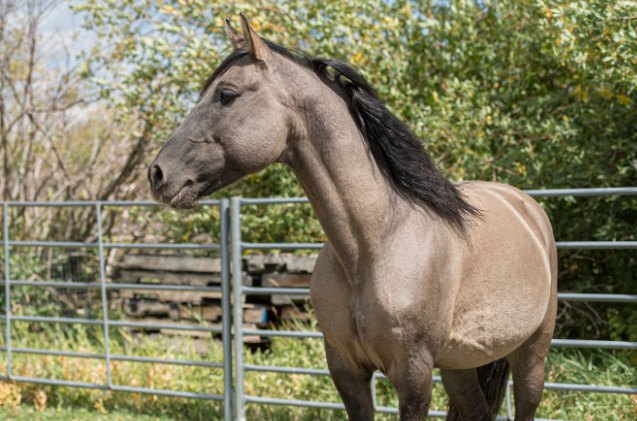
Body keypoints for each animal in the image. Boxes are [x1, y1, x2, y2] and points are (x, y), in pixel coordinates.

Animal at [147, 14, 556, 418]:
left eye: (226, 94)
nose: (157, 174)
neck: (373, 244)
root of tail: (526, 206)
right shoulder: (346, 370)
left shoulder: (414, 377)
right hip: (461, 363)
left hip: (531, 354)